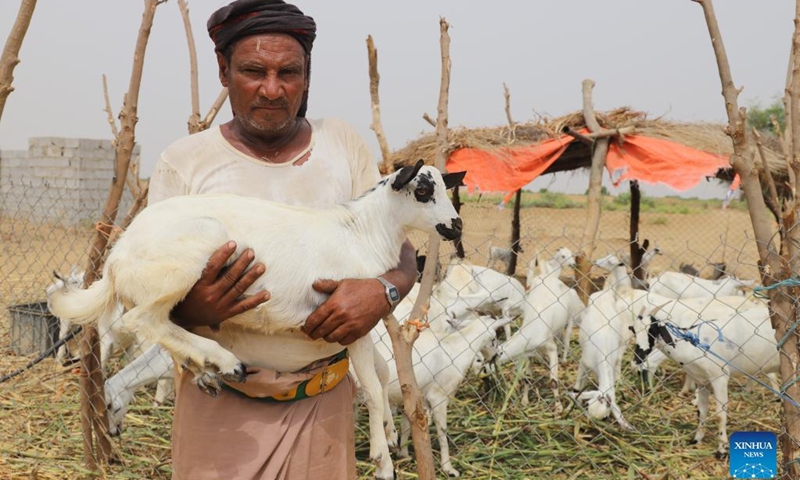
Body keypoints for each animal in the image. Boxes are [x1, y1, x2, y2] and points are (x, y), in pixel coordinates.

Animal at [47, 161, 466, 480]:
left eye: (444, 187)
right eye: (423, 190)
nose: (457, 225)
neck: (363, 233)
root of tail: (117, 260)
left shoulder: (360, 320)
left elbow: (379, 379)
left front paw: (388, 443)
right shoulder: (354, 318)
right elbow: (376, 391)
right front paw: (383, 461)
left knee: (163, 327)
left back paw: (206, 368)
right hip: (181, 262)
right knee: (143, 320)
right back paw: (224, 361)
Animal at [632, 304, 776, 458]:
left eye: (652, 331)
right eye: (634, 331)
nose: (637, 358)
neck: (691, 346)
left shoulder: (719, 377)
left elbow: (720, 415)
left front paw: (721, 449)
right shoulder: (702, 381)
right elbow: (702, 411)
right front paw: (696, 439)